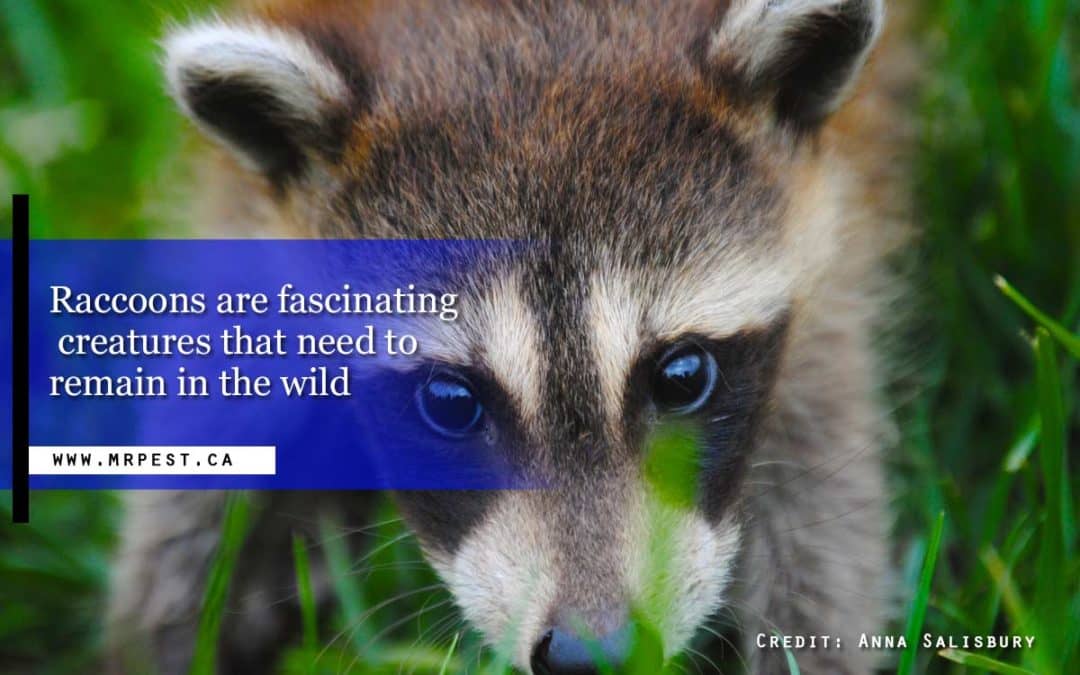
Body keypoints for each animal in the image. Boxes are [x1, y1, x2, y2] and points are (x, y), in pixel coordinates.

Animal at [108, 0, 913, 672]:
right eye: (450, 402)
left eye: (681, 377)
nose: (597, 655)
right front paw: (175, 632)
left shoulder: (825, 227)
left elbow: (818, 486)